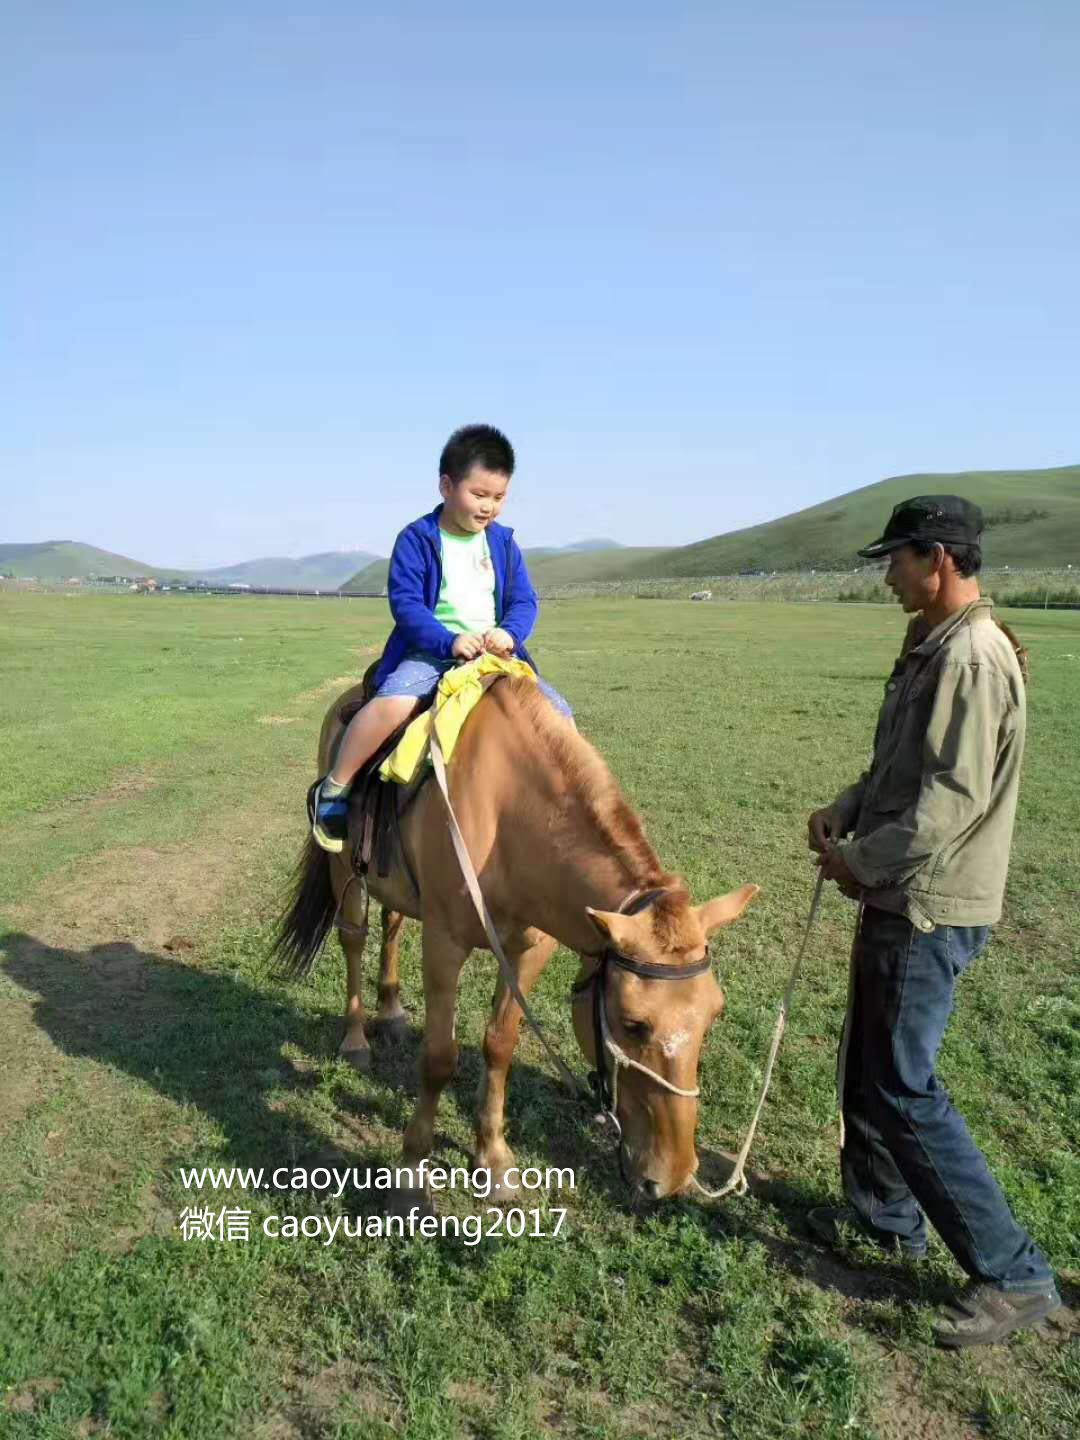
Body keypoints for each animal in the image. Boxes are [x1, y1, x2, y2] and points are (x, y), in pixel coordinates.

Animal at [275, 679, 754, 1198]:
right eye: (632, 1024)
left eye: (714, 1015)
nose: (673, 1175)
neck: (508, 814)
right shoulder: (445, 944)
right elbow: (439, 1057)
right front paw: (412, 1168)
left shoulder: (529, 950)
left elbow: (500, 1046)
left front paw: (494, 1159)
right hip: (344, 869)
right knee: (353, 940)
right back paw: (356, 1038)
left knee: (392, 926)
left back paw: (393, 1012)